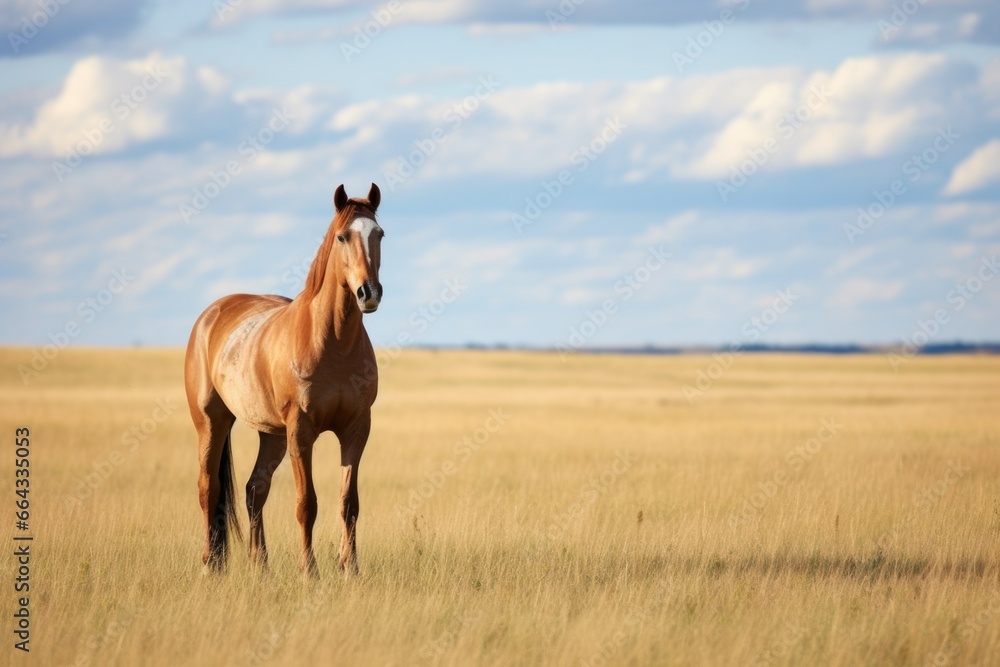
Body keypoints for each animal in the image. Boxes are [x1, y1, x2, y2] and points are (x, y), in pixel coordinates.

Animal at [182, 184, 384, 580]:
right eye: (342, 236)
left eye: (379, 234)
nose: (369, 293)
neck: (333, 341)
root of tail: (211, 315)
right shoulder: (300, 431)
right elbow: (307, 503)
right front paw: (310, 571)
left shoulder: (356, 428)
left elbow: (348, 502)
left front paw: (350, 568)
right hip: (212, 423)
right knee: (208, 489)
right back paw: (209, 565)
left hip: (272, 434)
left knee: (253, 490)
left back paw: (260, 565)